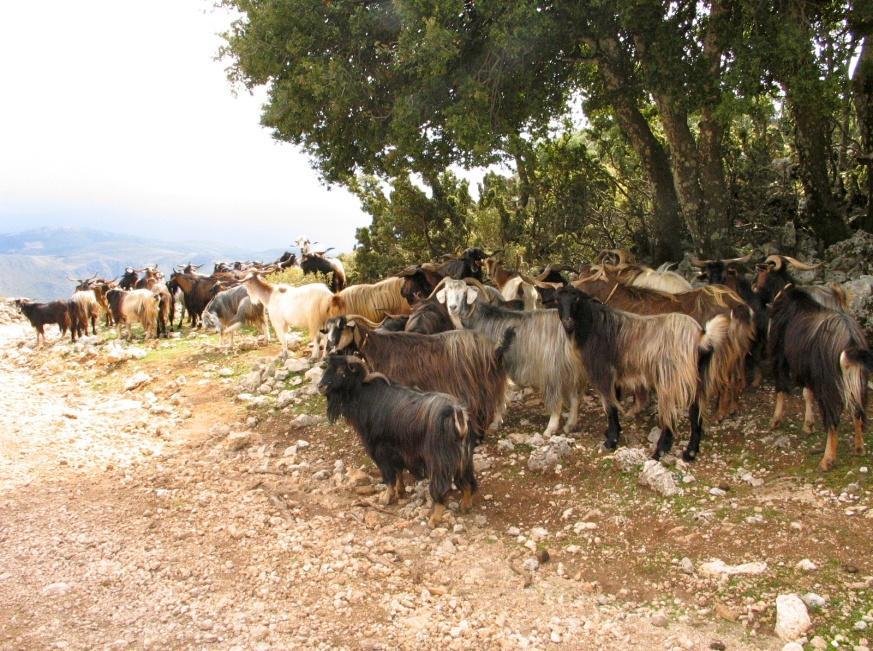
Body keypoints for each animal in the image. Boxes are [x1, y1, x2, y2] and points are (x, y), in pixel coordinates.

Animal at [316, 354, 474, 528]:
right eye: (328, 367)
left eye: (341, 371)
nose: (320, 386)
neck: (365, 395)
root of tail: (457, 415)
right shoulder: (397, 450)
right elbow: (398, 471)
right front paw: (400, 491)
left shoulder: (379, 449)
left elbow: (389, 476)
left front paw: (386, 498)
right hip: (464, 460)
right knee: (468, 483)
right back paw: (465, 506)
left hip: (439, 462)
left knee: (441, 488)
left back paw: (433, 520)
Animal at [436, 278, 584, 436]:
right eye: (447, 291)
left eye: (464, 292)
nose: (452, 307)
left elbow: (497, 396)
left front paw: (495, 422)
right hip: (571, 369)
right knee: (575, 397)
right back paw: (570, 424)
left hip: (552, 369)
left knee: (557, 400)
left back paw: (550, 428)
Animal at [768, 288, 868, 472]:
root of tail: (850, 341)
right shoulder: (808, 370)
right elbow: (807, 393)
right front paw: (808, 426)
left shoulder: (781, 356)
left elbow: (783, 388)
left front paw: (775, 421)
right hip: (858, 382)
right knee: (857, 410)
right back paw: (859, 448)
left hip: (828, 386)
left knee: (833, 419)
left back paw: (826, 460)